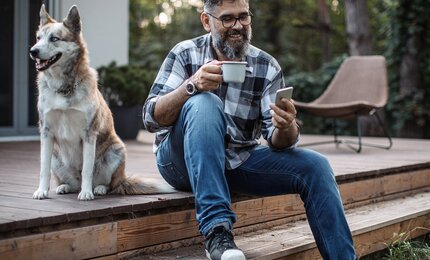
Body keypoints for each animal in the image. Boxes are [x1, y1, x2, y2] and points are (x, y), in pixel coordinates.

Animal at [28, 4, 169, 201]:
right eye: (38, 38)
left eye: (54, 38)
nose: (33, 51)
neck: (64, 87)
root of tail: (123, 179)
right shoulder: (46, 132)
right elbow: (43, 169)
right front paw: (41, 191)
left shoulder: (89, 133)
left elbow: (87, 169)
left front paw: (86, 193)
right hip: (57, 156)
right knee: (72, 182)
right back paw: (65, 186)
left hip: (116, 151)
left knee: (109, 184)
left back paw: (98, 188)